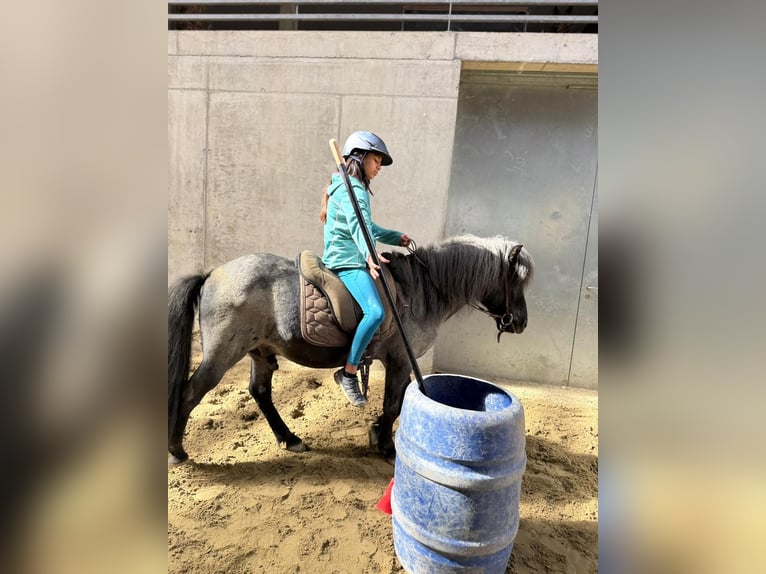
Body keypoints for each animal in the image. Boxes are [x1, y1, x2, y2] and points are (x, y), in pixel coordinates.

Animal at [168, 235, 534, 464]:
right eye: (516, 281)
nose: (521, 322)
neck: (421, 291)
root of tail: (212, 273)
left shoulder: (400, 362)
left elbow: (398, 403)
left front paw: (377, 434)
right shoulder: (400, 360)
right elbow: (393, 404)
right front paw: (385, 445)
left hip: (260, 352)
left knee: (259, 392)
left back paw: (290, 438)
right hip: (221, 354)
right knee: (189, 394)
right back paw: (177, 451)